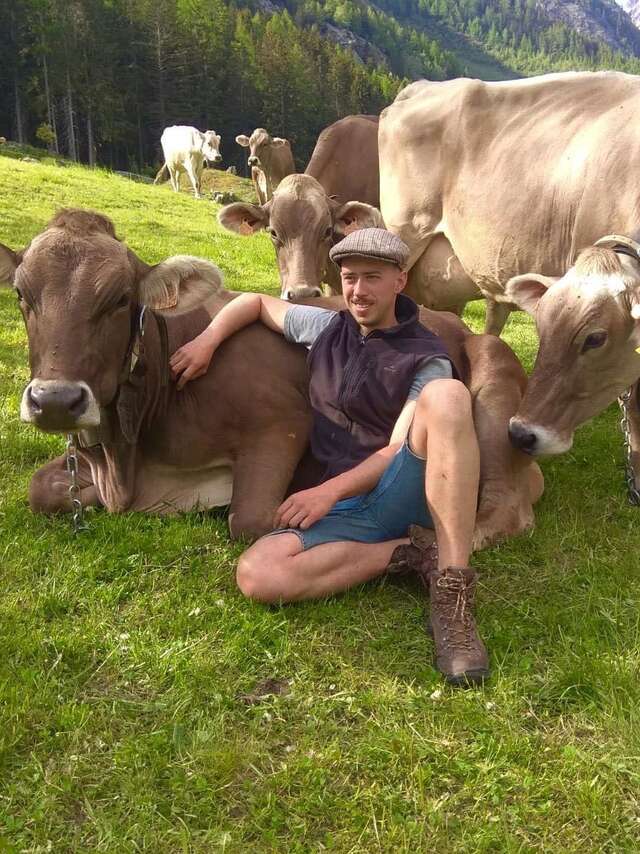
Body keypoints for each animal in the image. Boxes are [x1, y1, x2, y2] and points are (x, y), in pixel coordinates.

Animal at [0, 208, 542, 550]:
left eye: (118, 298)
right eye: (22, 295)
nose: (55, 400)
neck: (127, 459)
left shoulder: (282, 420)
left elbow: (253, 520)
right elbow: (38, 488)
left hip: (493, 377)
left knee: (507, 505)